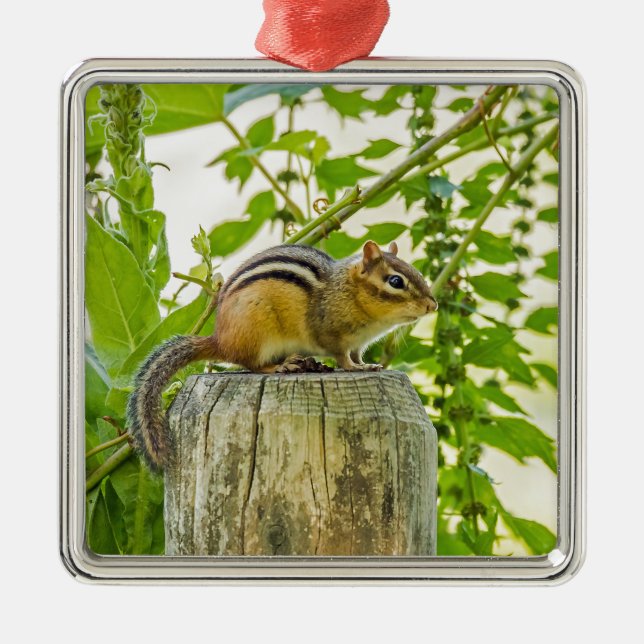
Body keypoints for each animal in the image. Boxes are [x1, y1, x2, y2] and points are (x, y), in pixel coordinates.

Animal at [127, 240, 438, 470]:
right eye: (395, 281)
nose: (432, 306)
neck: (350, 292)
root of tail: (220, 339)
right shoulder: (332, 335)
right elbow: (342, 357)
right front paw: (354, 368)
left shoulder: (358, 343)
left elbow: (358, 355)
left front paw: (368, 365)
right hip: (258, 332)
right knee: (251, 364)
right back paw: (281, 367)